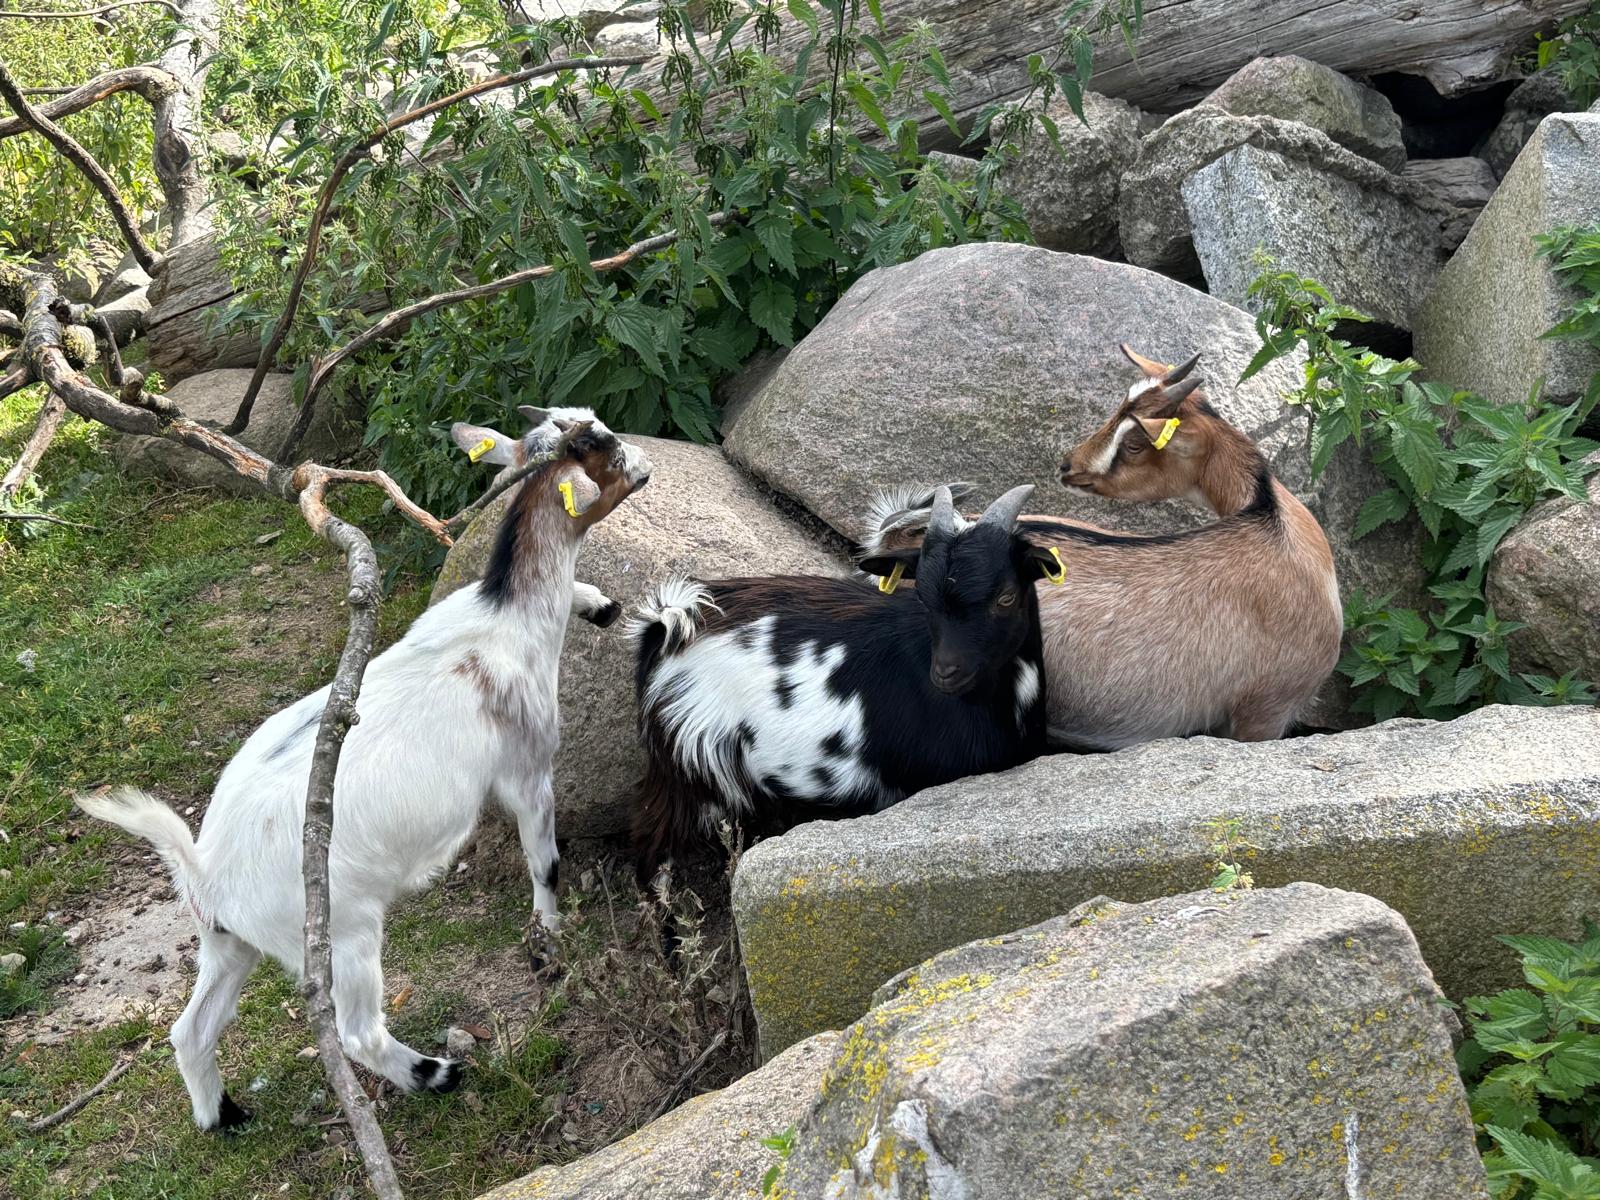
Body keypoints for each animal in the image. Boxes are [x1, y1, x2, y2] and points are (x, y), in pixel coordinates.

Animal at [75, 407, 651, 1132]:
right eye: (606, 450)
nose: (646, 465)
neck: (507, 617)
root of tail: (205, 873)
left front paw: (600, 604)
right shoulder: (527, 767)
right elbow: (543, 862)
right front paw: (551, 934)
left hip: (229, 944)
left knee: (192, 1028)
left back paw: (223, 1115)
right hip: (342, 931)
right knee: (354, 1033)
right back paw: (437, 1073)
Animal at [628, 485, 1057, 879]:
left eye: (1006, 597)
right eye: (922, 594)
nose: (946, 673)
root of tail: (666, 629)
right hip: (688, 765)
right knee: (654, 844)